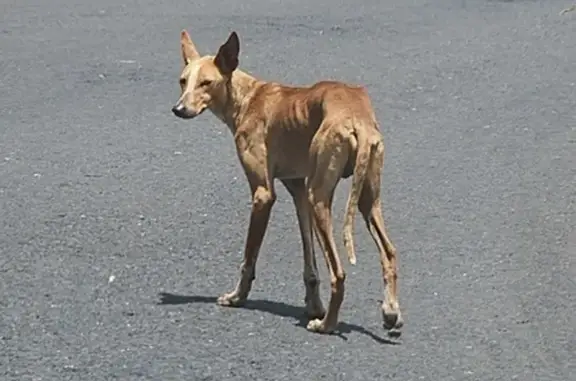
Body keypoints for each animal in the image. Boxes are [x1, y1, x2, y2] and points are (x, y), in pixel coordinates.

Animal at [172, 29, 404, 332]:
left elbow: (249, 257)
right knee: (389, 253)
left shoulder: (263, 195)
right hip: (365, 200)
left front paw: (237, 297)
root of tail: (357, 118)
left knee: (339, 273)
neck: (247, 98)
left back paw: (326, 325)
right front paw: (313, 304)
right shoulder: (298, 191)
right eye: (183, 81)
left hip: (320, 199)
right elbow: (310, 263)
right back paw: (390, 311)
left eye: (206, 83)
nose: (178, 109)